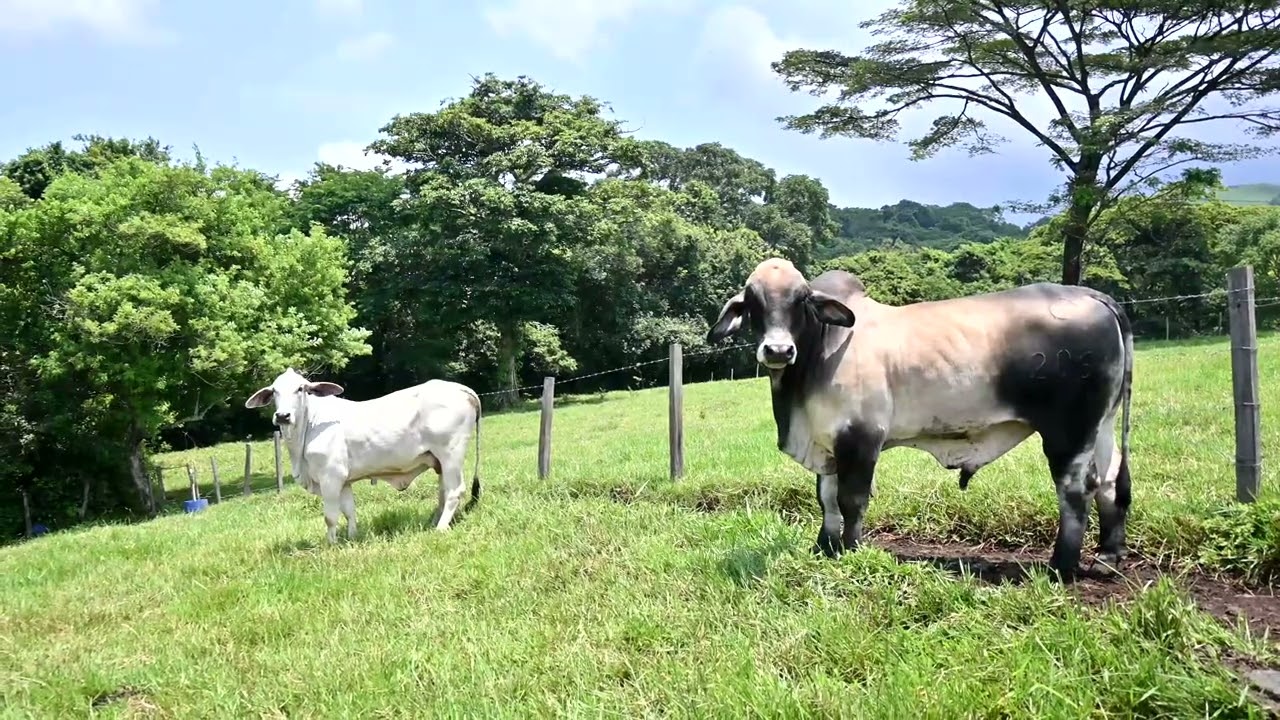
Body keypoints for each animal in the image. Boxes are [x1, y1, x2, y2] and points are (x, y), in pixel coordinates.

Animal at [243, 368, 483, 544]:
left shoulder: (330, 478)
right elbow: (349, 511)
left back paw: (440, 528)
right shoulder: (344, 481)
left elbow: (330, 517)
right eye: (274, 391)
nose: (283, 416)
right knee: (443, 491)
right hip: (439, 461)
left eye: (300, 388)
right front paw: (352, 538)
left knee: (454, 491)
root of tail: (461, 388)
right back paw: (434, 522)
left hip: (451, 454)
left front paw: (331, 545)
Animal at [706, 258, 1133, 582]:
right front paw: (823, 548)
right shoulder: (828, 443)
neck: (818, 353)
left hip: (1069, 430)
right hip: (1102, 424)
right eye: (753, 302)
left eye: (801, 301)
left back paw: (1060, 567)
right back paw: (1107, 556)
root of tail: (1092, 295)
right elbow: (825, 498)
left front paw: (850, 550)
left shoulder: (861, 439)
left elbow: (851, 500)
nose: (778, 350)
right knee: (1110, 481)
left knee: (1076, 490)